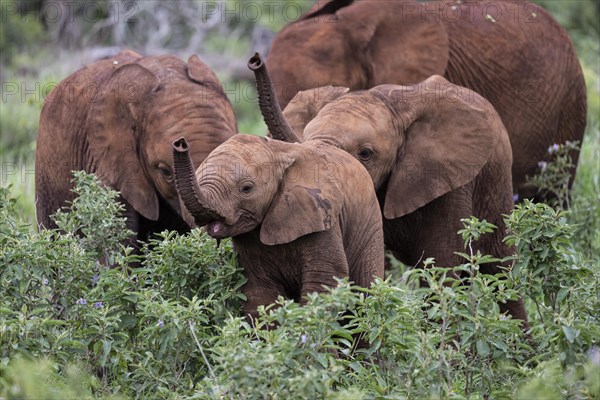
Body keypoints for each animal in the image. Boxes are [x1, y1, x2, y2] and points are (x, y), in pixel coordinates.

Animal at [171, 134, 384, 318]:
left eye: (246, 189)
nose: (180, 143)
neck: (278, 152)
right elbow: (260, 292)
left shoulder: (323, 215)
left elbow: (323, 281)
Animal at [248, 54, 528, 328]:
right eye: (304, 142)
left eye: (365, 154)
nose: (255, 60)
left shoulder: (449, 181)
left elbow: (441, 268)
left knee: (500, 266)